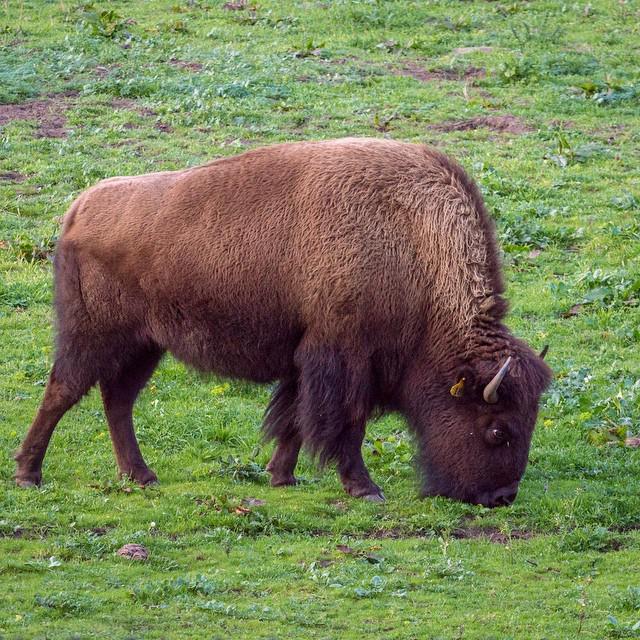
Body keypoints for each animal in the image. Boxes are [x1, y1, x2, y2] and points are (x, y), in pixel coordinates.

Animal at [15, 138, 551, 506]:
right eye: (497, 430)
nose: (501, 497)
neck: (415, 248)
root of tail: (78, 209)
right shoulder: (343, 358)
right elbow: (344, 424)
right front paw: (364, 488)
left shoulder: (305, 359)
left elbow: (293, 419)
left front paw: (282, 476)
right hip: (95, 336)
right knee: (64, 390)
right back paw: (29, 473)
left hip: (145, 344)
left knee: (117, 399)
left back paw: (140, 475)